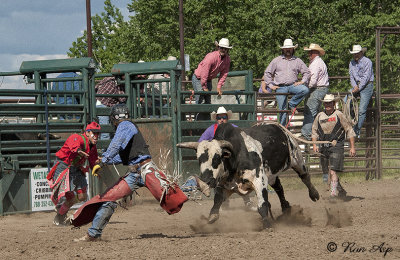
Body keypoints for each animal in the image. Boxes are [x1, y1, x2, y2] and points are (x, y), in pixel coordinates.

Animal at [177, 122, 324, 228]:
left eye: (217, 158)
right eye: (199, 159)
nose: (206, 180)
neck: (235, 158)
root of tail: (277, 126)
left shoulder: (259, 180)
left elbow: (263, 205)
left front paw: (267, 225)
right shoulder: (224, 184)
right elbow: (217, 200)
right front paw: (213, 216)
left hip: (296, 158)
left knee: (304, 176)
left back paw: (314, 194)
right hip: (271, 174)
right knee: (279, 187)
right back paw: (286, 208)